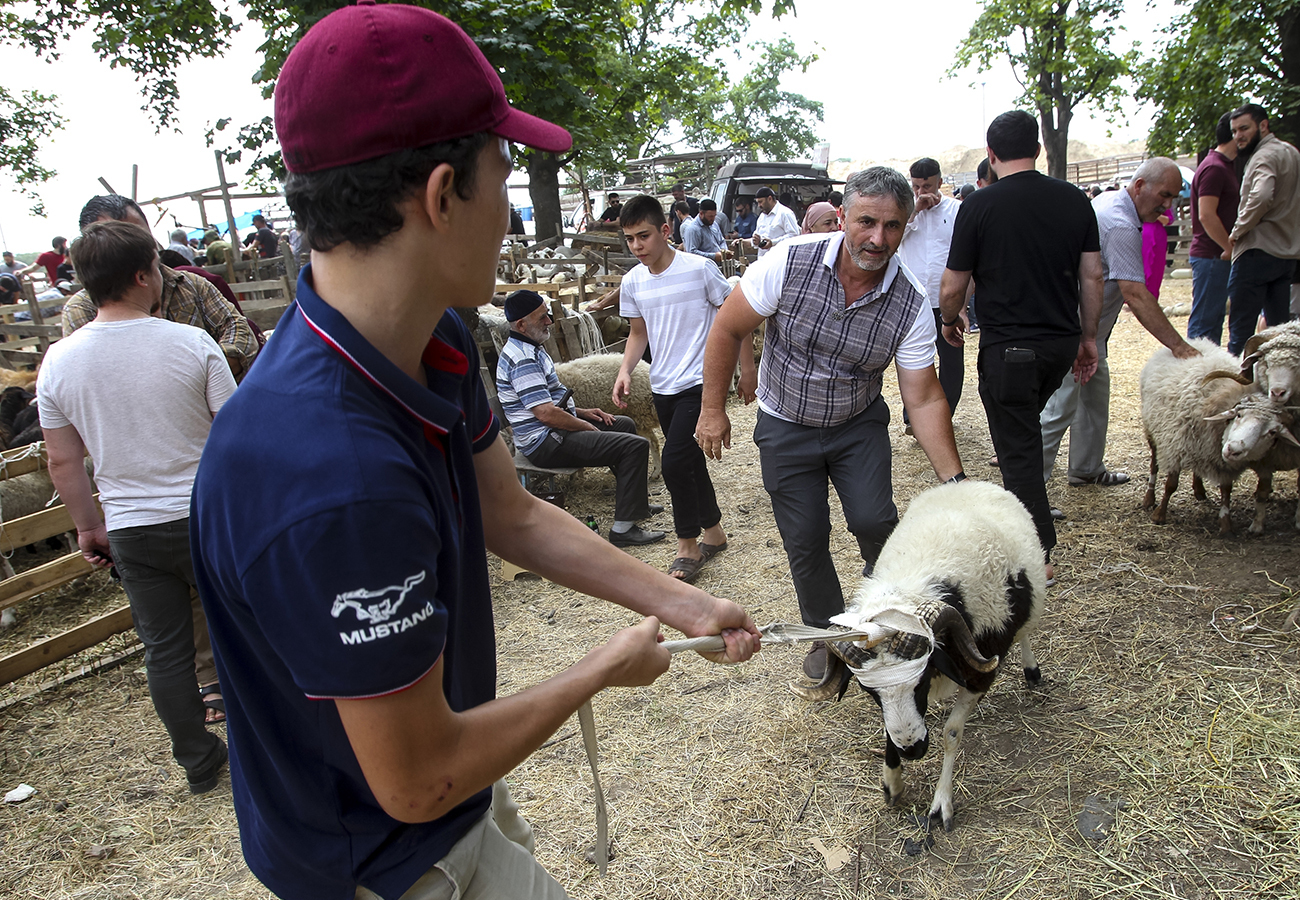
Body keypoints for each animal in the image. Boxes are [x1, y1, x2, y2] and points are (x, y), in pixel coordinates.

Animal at [790, 481, 1045, 832]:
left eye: (920, 681)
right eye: (868, 691)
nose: (912, 751)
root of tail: (967, 482)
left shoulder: (980, 671)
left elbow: (952, 732)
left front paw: (941, 804)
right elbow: (890, 730)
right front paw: (892, 784)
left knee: (1025, 633)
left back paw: (1031, 670)